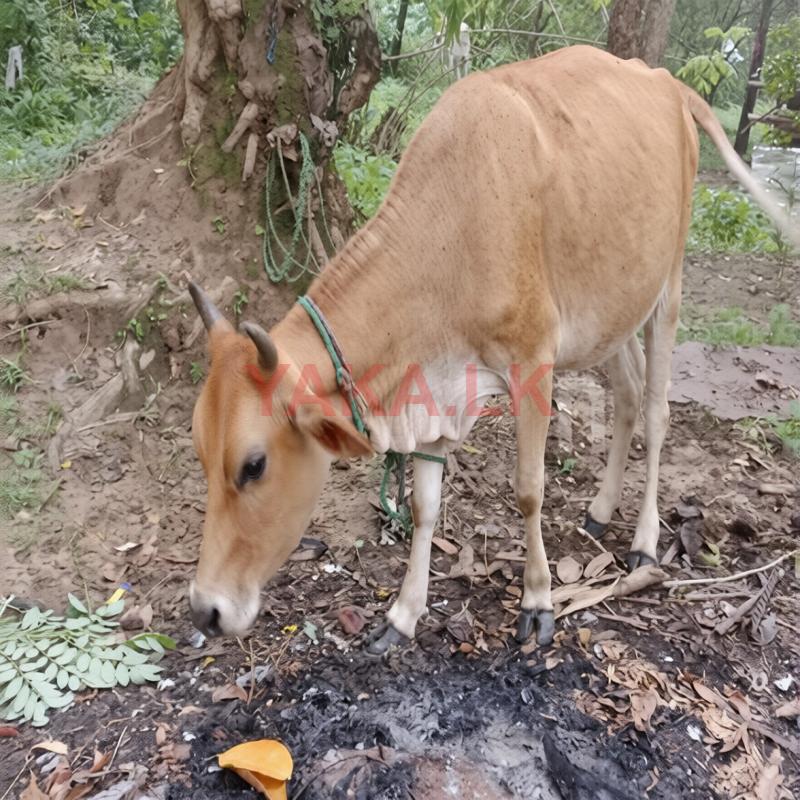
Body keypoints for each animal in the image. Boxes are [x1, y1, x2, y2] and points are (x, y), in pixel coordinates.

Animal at [187, 46, 797, 655]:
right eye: (201, 454)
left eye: (254, 465)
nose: (205, 610)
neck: (452, 237)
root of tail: (666, 80)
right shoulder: (435, 389)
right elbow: (424, 505)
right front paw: (403, 614)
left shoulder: (533, 363)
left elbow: (529, 490)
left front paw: (539, 601)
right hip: (611, 309)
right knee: (627, 394)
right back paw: (601, 510)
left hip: (667, 287)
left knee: (656, 408)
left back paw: (644, 541)